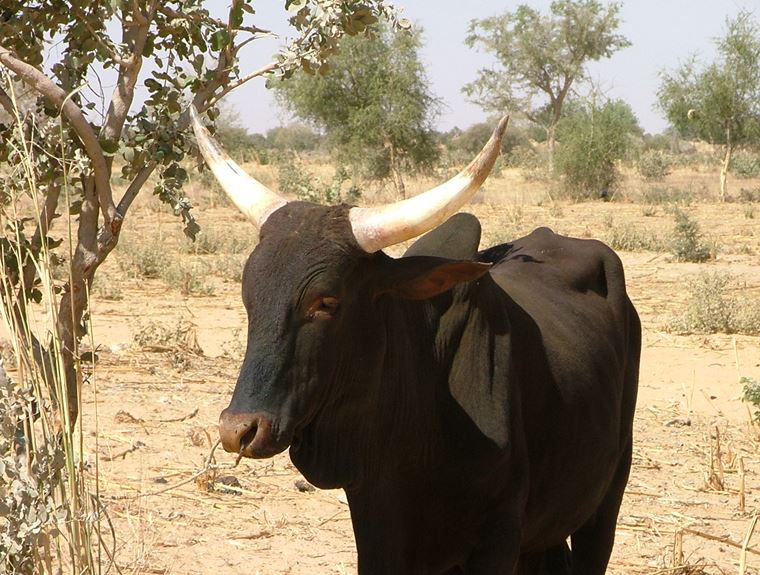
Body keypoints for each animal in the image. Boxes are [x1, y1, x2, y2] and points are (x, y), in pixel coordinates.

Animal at [190, 107, 641, 574]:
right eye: (249, 295)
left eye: (326, 301)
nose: (238, 429)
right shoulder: (376, 523)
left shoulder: (499, 534)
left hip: (608, 494)